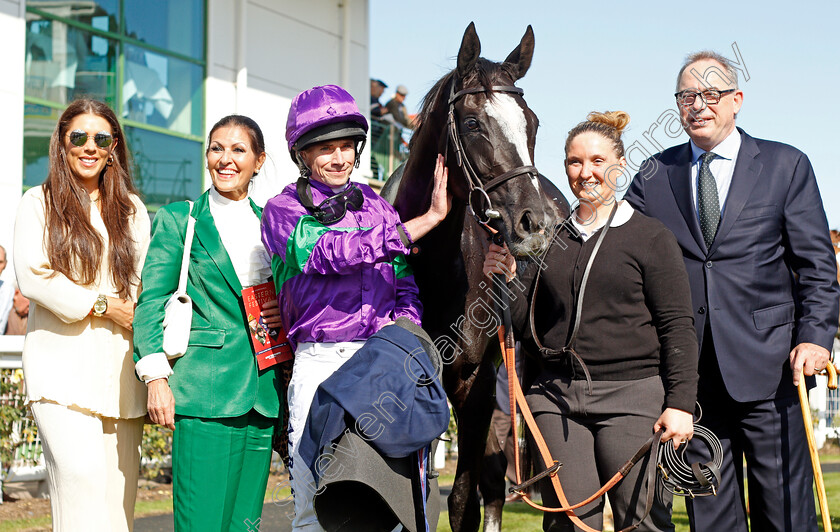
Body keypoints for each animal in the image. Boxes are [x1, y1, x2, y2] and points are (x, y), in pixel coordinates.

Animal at [382, 21, 568, 532]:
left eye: (532, 123)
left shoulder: (475, 383)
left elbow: (462, 499)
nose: (535, 223)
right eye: (472, 123)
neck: (433, 267)